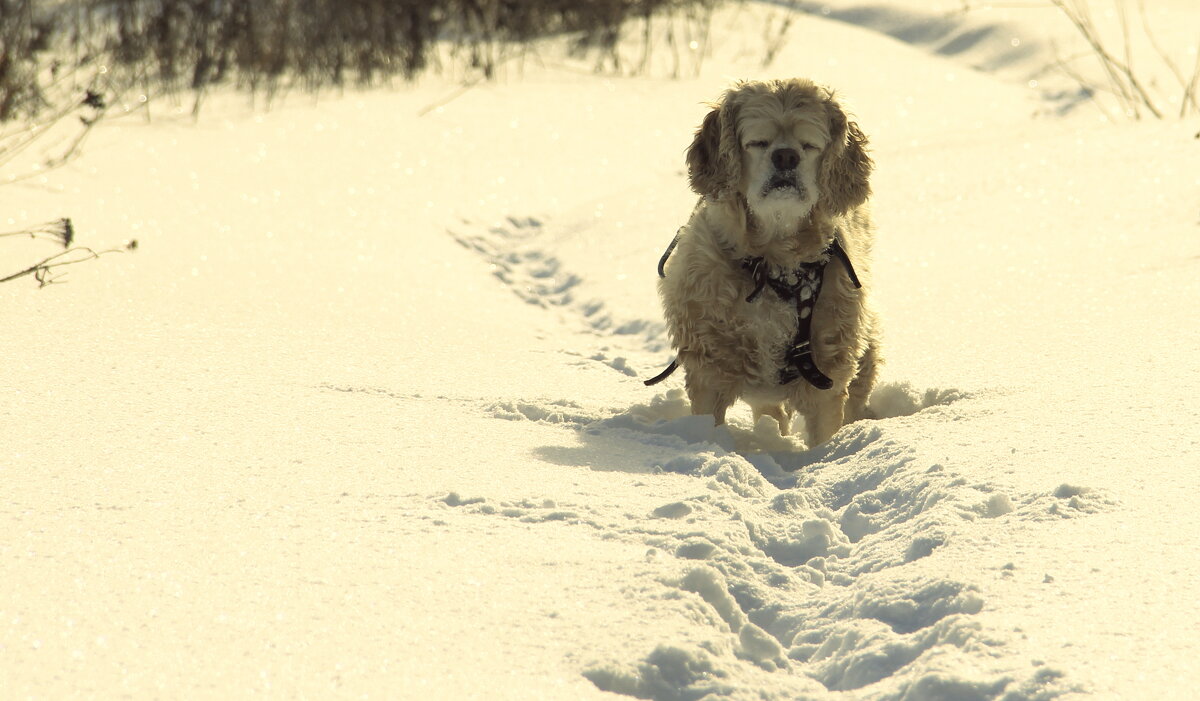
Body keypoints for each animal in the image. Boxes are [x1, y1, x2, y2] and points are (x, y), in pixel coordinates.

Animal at [657, 79, 883, 446]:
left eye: (809, 145)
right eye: (758, 141)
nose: (786, 156)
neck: (774, 260)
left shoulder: (828, 369)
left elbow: (825, 431)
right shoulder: (709, 364)